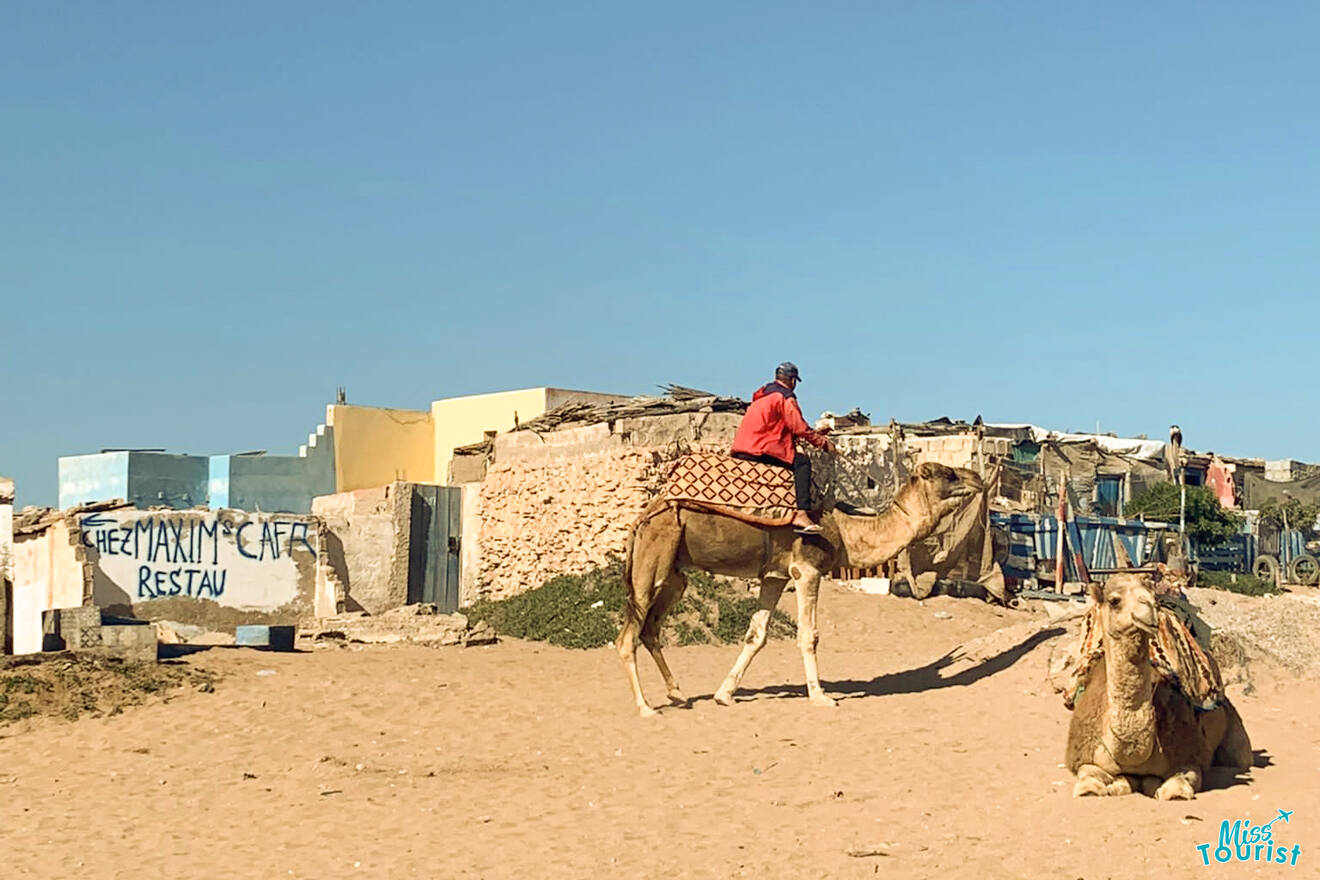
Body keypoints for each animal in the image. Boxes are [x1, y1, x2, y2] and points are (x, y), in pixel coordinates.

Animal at [615, 461, 982, 717]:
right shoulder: (807, 569)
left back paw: (677, 693)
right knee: (627, 636)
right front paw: (820, 696)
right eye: (948, 474)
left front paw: (724, 695)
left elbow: (756, 635)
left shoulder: (774, 575)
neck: (845, 530)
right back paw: (646, 707)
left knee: (649, 628)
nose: (977, 478)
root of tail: (641, 518)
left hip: (675, 575)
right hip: (652, 560)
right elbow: (809, 635)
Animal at [1066, 575, 1251, 802]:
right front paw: (1118, 784)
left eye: (1154, 598)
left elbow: (1176, 787)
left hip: (1236, 734)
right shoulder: (1082, 756)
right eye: (1114, 600)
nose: (1149, 609)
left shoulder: (1188, 755)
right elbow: (1088, 784)